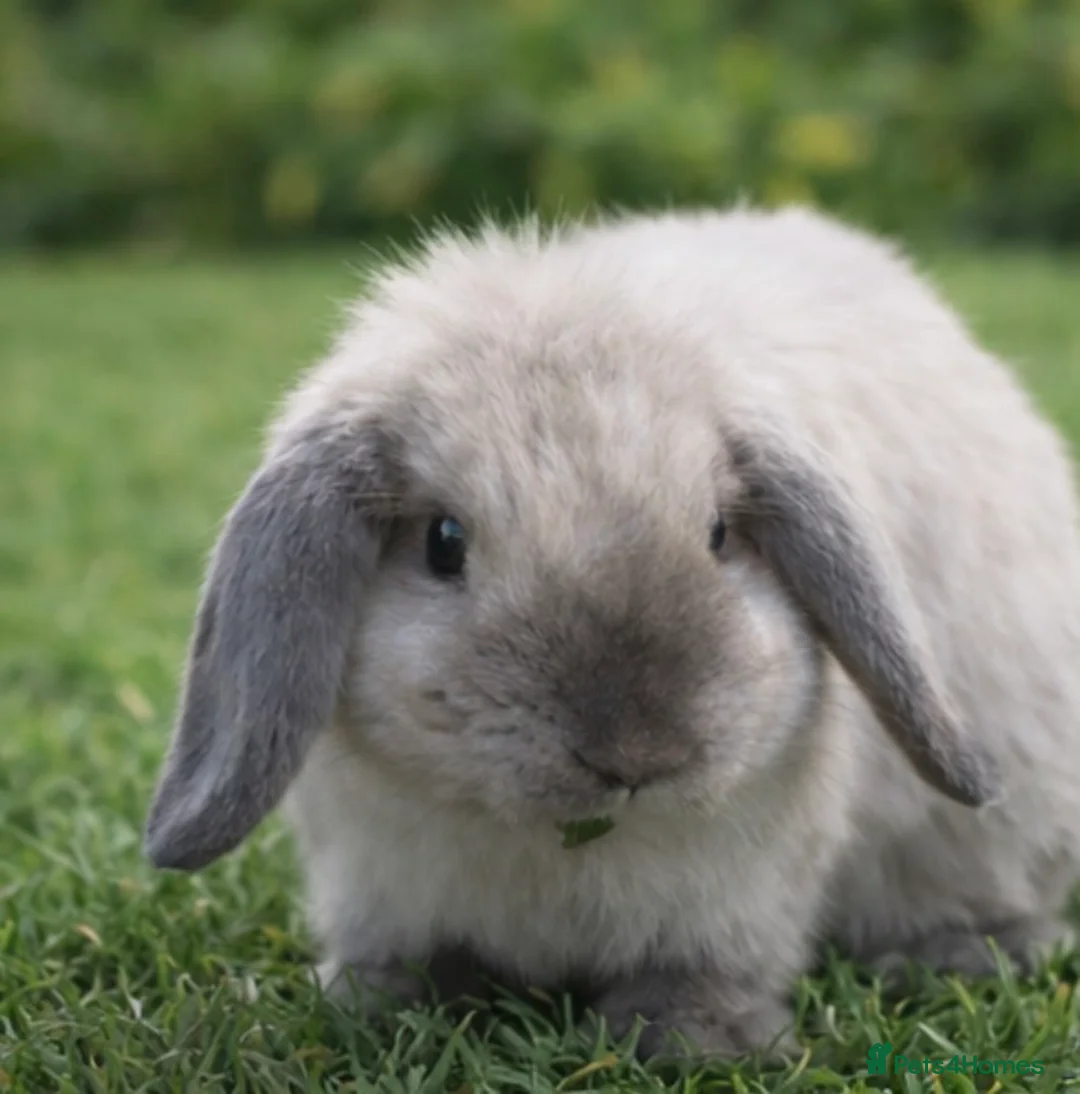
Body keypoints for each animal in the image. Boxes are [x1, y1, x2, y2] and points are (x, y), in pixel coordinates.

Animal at [143, 204, 1080, 1062]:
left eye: (720, 534)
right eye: (444, 541)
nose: (636, 754)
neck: (558, 838)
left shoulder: (735, 891)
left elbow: (703, 969)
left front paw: (688, 1043)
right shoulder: (379, 880)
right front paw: (382, 1010)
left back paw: (969, 954)